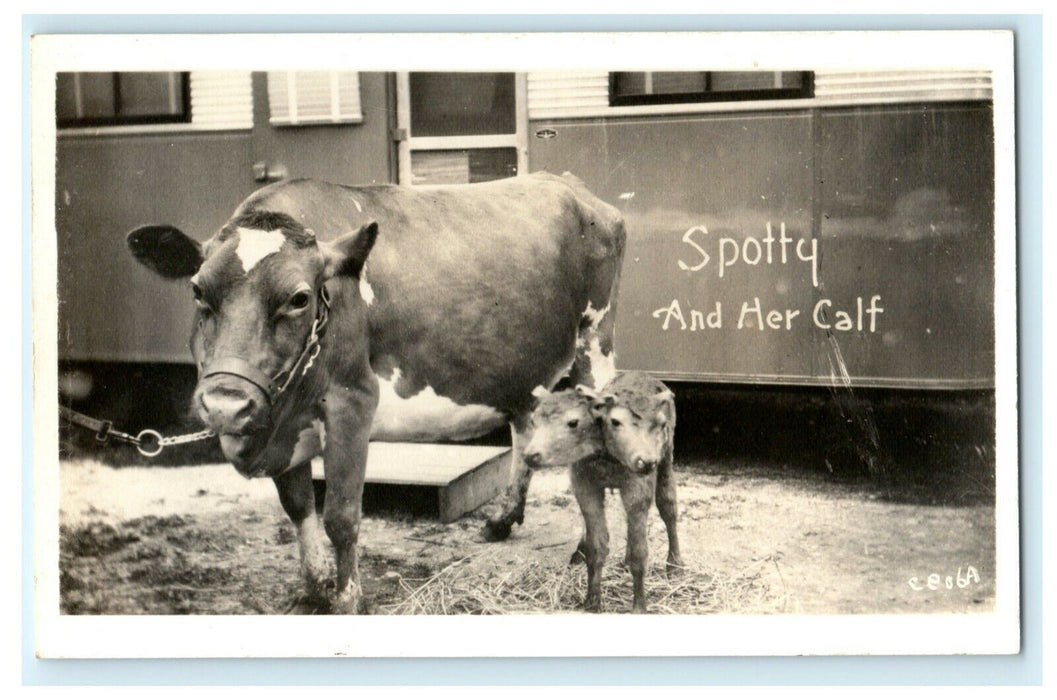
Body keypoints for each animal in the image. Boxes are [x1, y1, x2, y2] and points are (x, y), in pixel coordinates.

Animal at [124, 174, 621, 613]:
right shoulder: (284, 415)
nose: (226, 405)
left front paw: (347, 600)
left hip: (595, 344)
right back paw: (502, 520)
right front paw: (314, 589)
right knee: (524, 426)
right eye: (196, 290)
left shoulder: (352, 402)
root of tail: (570, 184)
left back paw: (585, 546)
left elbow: (341, 517)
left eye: (299, 298)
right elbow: (298, 506)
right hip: (522, 365)